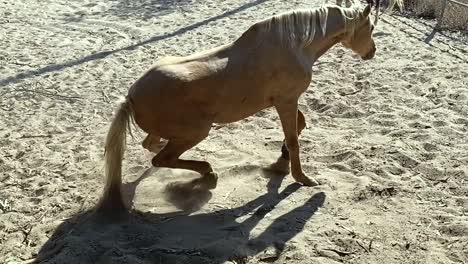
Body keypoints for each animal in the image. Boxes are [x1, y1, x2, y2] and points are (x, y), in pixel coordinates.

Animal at [96, 0, 402, 213]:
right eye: (371, 28)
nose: (372, 52)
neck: (295, 46)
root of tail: (131, 95)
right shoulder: (286, 100)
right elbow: (294, 138)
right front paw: (302, 178)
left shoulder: (286, 101)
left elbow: (299, 126)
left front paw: (280, 160)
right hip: (196, 132)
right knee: (161, 158)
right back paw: (207, 170)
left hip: (177, 133)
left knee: (151, 145)